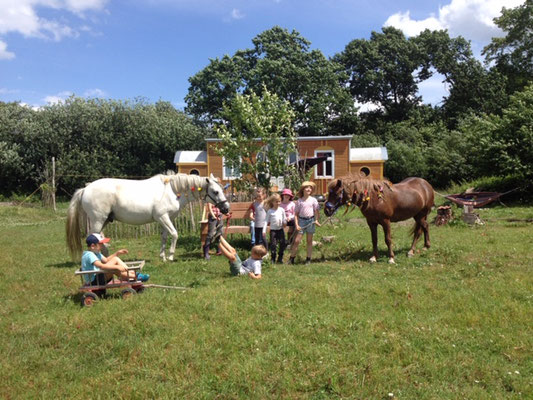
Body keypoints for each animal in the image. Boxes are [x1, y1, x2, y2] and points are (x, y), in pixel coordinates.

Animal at [66, 173, 229, 260]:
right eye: (215, 191)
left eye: (222, 189)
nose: (226, 208)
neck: (172, 191)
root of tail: (86, 188)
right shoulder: (163, 217)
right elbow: (174, 234)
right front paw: (170, 256)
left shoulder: (166, 219)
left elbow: (164, 237)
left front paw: (163, 257)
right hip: (98, 220)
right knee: (92, 236)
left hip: (105, 220)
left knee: (99, 237)